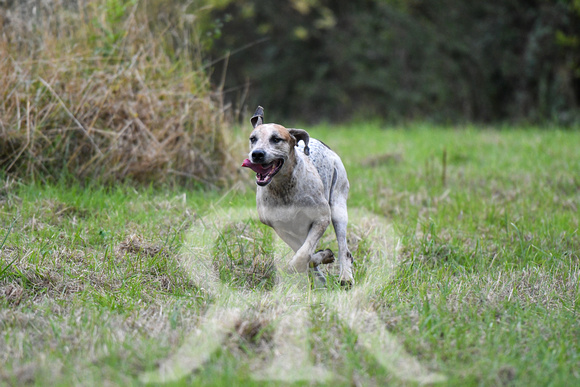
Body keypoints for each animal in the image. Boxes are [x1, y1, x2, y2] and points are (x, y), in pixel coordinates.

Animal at [241, 106, 354, 284]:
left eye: (276, 139)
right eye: (253, 139)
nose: (257, 154)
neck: (283, 187)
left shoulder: (321, 218)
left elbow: (303, 254)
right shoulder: (280, 228)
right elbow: (304, 252)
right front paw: (322, 257)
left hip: (338, 208)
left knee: (344, 248)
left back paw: (345, 277)